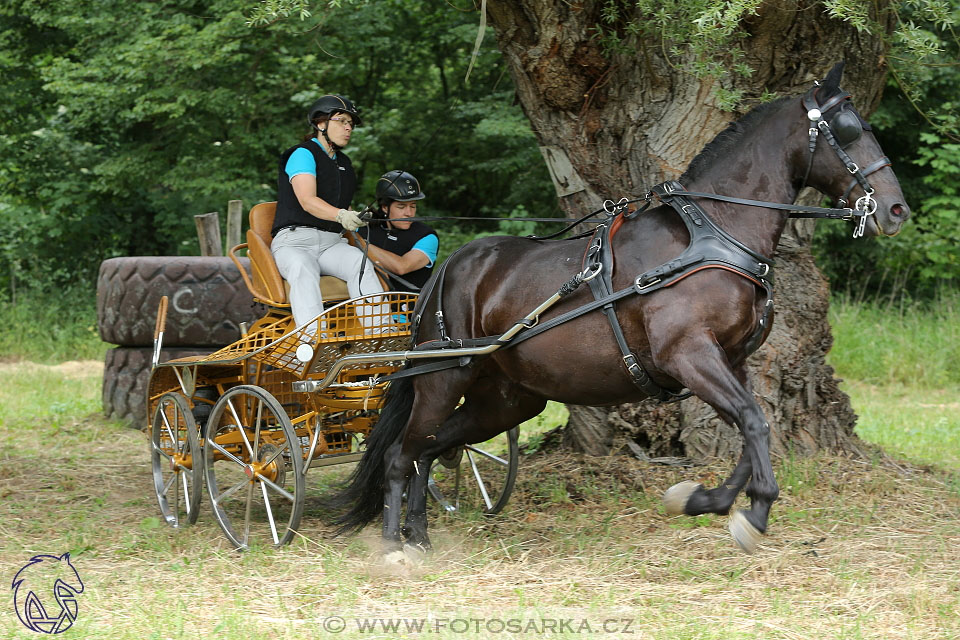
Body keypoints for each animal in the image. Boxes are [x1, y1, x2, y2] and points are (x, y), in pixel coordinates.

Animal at [334, 62, 912, 556]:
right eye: (849, 128)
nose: (896, 210)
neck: (713, 232)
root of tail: (447, 268)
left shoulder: (732, 360)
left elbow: (752, 425)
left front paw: (707, 501)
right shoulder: (688, 354)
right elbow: (752, 421)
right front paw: (754, 513)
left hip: (506, 399)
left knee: (432, 450)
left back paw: (419, 538)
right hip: (442, 376)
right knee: (402, 455)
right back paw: (393, 547)